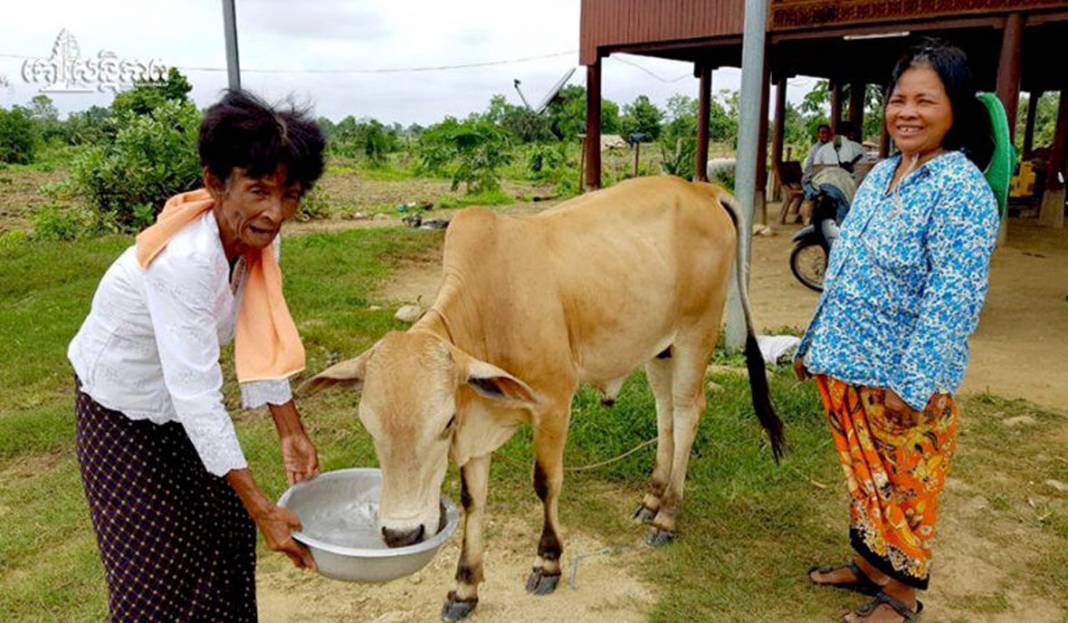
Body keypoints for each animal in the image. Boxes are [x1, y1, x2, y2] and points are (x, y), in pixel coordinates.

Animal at [301, 176, 786, 623]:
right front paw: (464, 587)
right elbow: (473, 498)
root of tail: (700, 188)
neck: (490, 310)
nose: (401, 535)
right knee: (664, 413)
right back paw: (652, 499)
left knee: (687, 413)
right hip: (658, 347)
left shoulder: (554, 403)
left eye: (444, 423)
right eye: (370, 427)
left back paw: (667, 516)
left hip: (694, 335)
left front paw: (548, 561)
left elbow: (545, 482)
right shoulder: (479, 425)